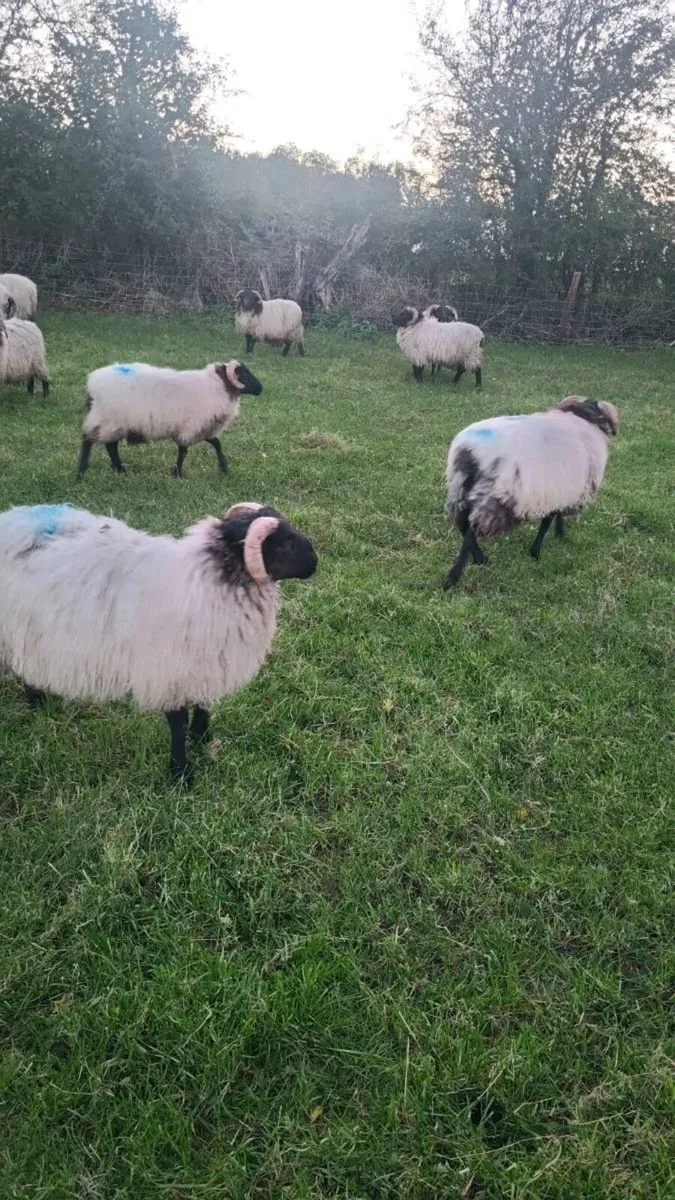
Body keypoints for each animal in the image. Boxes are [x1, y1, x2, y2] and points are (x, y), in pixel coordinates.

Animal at [0, 500, 318, 782]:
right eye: (284, 544)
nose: (315, 563)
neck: (206, 584)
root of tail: (12, 519)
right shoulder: (168, 672)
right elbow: (177, 723)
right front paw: (181, 772)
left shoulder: (206, 664)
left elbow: (203, 704)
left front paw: (202, 737)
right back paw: (36, 700)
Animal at [78, 359, 262, 479]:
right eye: (244, 374)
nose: (261, 389)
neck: (219, 386)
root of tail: (92, 382)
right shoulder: (190, 427)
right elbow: (183, 451)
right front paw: (177, 474)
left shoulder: (203, 428)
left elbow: (216, 443)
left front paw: (224, 468)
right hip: (105, 419)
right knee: (89, 440)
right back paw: (82, 471)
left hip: (113, 424)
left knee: (110, 445)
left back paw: (119, 470)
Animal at [443, 395, 619, 589]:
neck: (584, 417)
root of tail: (470, 453)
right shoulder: (556, 491)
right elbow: (546, 524)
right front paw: (536, 552)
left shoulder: (561, 489)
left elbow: (556, 516)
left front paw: (559, 534)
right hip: (496, 496)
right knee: (469, 532)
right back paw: (455, 577)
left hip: (459, 489)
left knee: (462, 525)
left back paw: (479, 559)